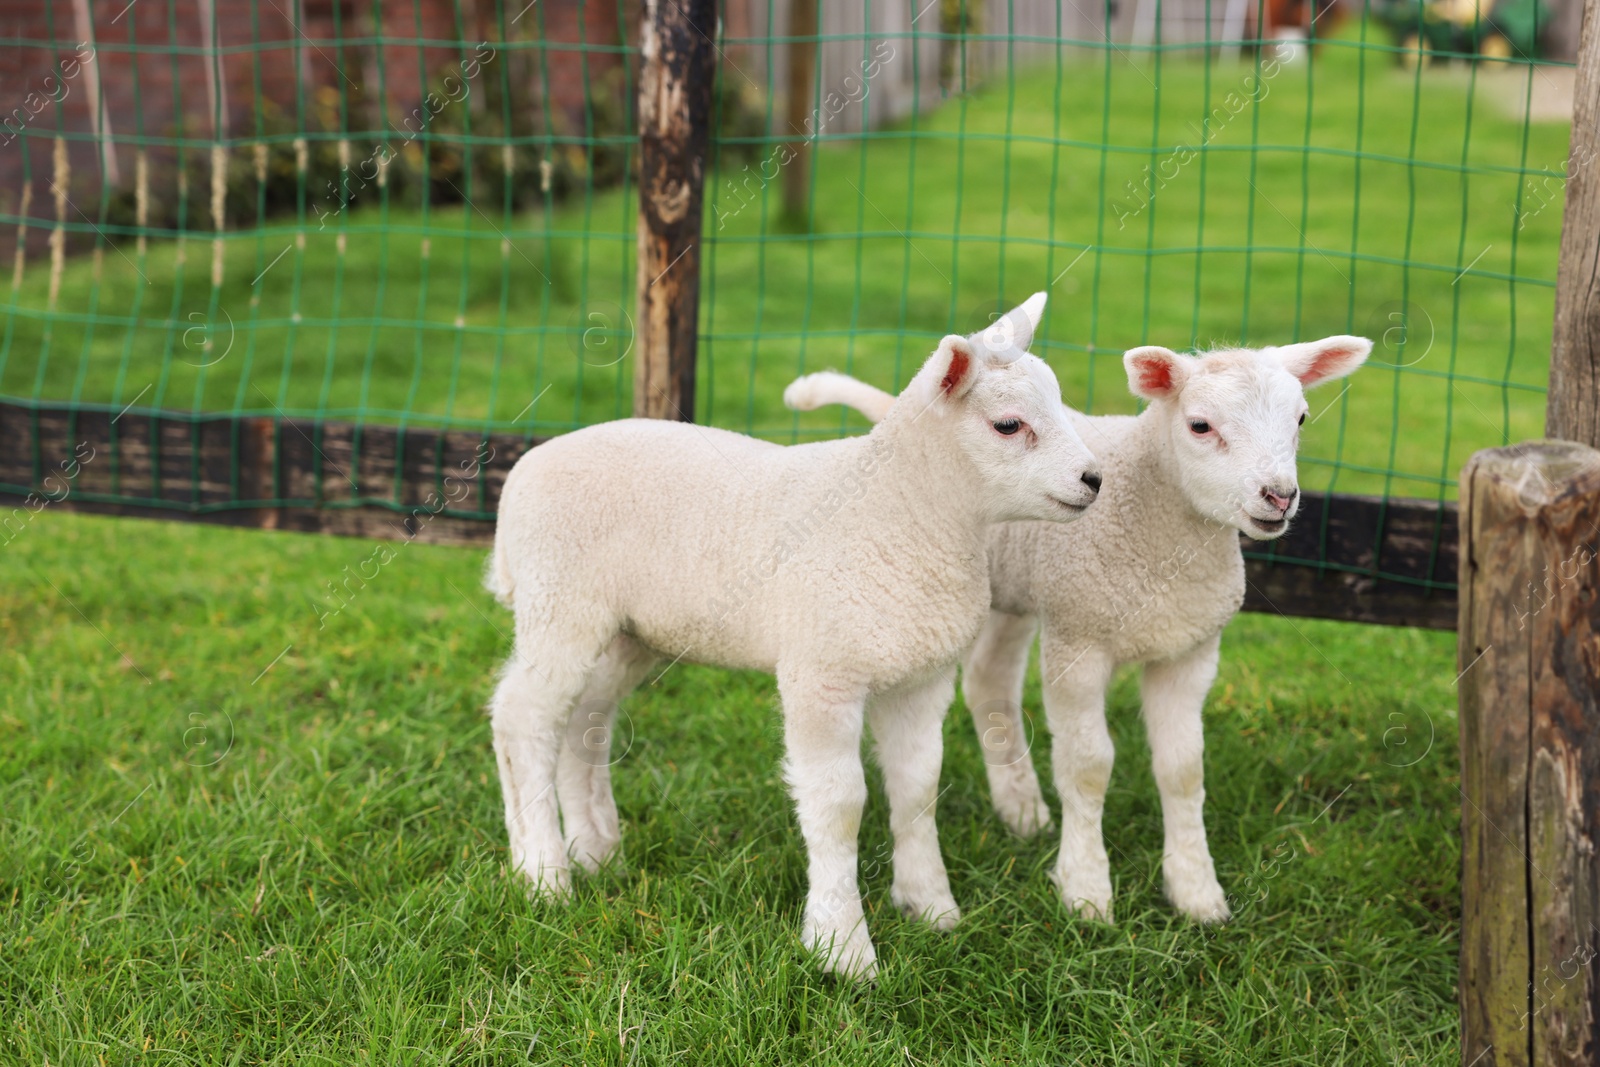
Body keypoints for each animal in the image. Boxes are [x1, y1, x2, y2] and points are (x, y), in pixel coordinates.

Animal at [483, 292, 1100, 979]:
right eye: (1009, 426)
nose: (1093, 480)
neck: (902, 512)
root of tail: (522, 472)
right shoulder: (821, 674)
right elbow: (839, 805)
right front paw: (843, 945)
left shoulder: (920, 677)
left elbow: (917, 789)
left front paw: (931, 908)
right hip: (559, 602)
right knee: (523, 719)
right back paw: (543, 874)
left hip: (625, 631)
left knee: (582, 719)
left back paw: (595, 851)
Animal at [780, 335, 1369, 927]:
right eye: (1200, 426)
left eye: (1300, 418)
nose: (1279, 497)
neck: (1162, 539)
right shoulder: (1078, 637)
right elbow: (1088, 766)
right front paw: (1085, 891)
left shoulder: (1190, 650)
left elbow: (1183, 770)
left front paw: (1197, 892)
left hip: (1015, 592)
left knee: (989, 681)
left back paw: (1022, 810)